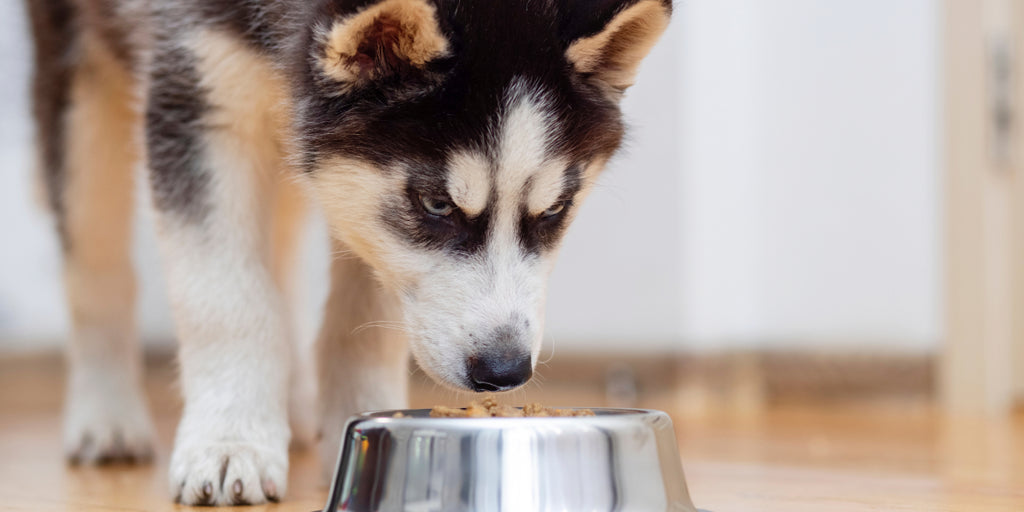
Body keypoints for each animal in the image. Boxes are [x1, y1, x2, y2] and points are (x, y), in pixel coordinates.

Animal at [25, 0, 671, 505]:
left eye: (555, 208)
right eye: (437, 204)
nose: (505, 371)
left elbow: (365, 310)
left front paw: (360, 417)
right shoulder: (197, 100)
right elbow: (227, 300)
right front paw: (229, 441)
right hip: (80, 85)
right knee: (96, 258)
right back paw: (107, 415)